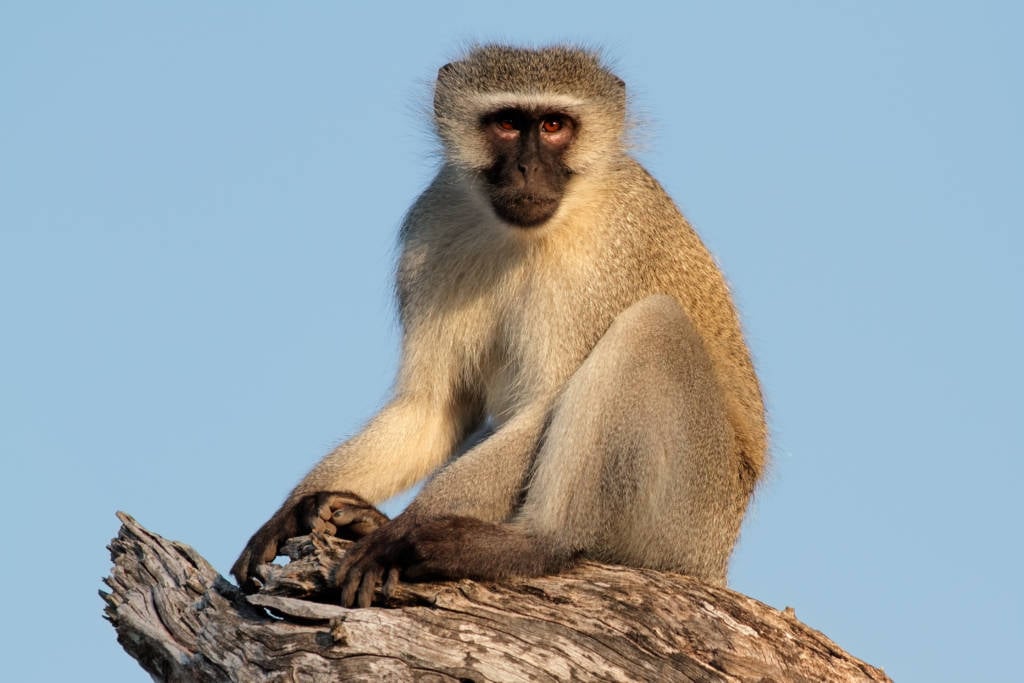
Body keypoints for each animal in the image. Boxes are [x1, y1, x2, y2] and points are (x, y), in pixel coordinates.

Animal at [232, 44, 770, 610]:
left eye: (554, 125)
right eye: (508, 124)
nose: (528, 167)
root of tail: (716, 560)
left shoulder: (605, 254)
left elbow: (542, 410)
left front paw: (403, 532)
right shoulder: (432, 225)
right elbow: (431, 407)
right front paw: (293, 511)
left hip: (688, 511)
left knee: (652, 327)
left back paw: (529, 545)